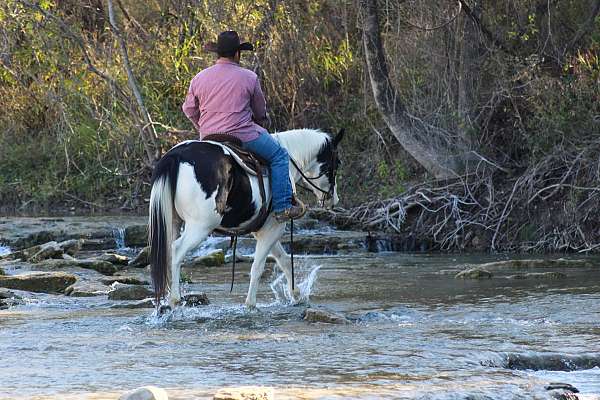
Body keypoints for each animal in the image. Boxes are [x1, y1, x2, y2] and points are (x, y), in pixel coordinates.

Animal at [150, 130, 344, 308]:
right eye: (337, 163)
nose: (334, 200)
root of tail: (177, 155)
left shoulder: (266, 230)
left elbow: (284, 260)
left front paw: (295, 295)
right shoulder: (273, 227)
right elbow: (258, 267)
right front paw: (250, 304)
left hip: (173, 223)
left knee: (168, 252)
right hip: (201, 226)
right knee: (177, 250)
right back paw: (175, 299)